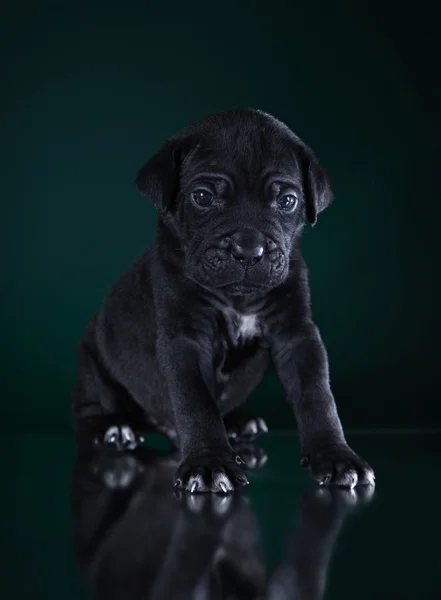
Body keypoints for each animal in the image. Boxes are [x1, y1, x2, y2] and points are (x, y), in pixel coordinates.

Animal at [72, 106, 374, 492]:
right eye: (202, 197)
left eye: (287, 201)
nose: (248, 250)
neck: (237, 297)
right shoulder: (185, 338)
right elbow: (196, 400)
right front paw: (209, 462)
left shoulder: (297, 334)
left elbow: (318, 393)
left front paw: (335, 455)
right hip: (93, 356)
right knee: (89, 410)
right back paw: (113, 428)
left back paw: (237, 424)